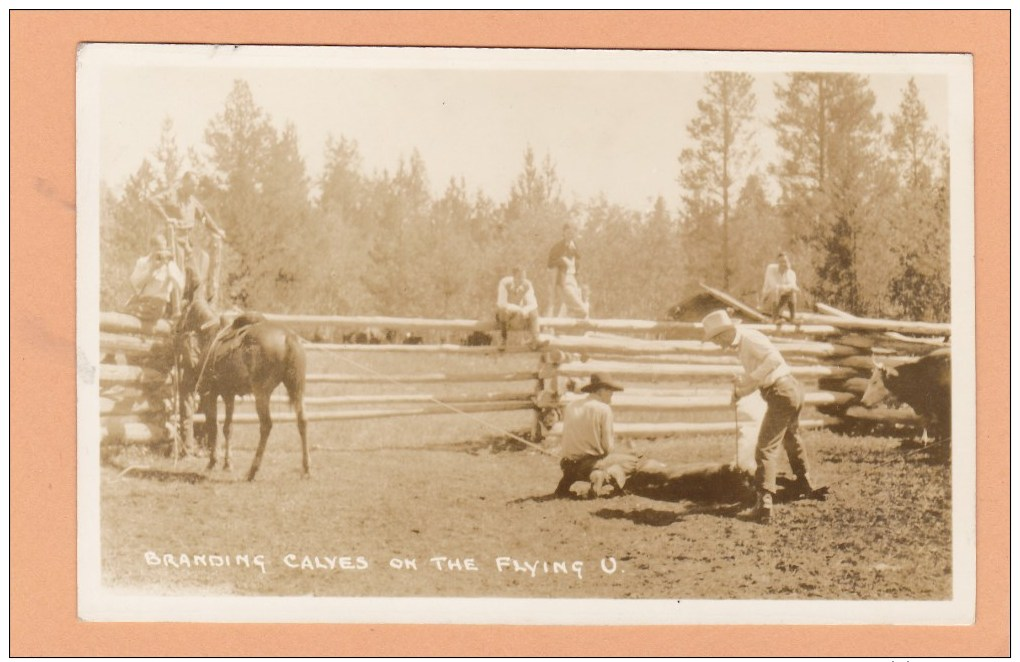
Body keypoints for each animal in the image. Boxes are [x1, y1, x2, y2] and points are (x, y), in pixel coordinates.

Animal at [177, 293, 310, 479]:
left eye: (183, 311)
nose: (176, 329)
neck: (210, 335)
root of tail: (288, 337)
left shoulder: (210, 394)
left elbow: (213, 427)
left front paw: (212, 463)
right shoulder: (229, 394)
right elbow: (228, 428)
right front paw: (227, 464)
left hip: (261, 393)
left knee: (266, 425)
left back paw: (253, 470)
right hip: (297, 389)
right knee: (302, 421)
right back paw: (306, 468)